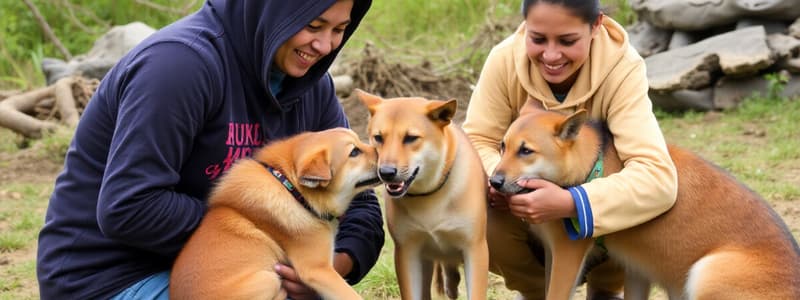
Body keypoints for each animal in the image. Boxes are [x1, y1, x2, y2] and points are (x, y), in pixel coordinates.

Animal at [354, 89, 488, 300]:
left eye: (410, 138)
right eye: (378, 137)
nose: (386, 172)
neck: (430, 196)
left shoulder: (475, 249)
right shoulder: (408, 251)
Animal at [488, 109, 800, 298]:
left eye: (526, 151)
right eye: (503, 146)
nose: (494, 182)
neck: (592, 165)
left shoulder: (568, 255)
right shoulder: (635, 271)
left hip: (705, 272)